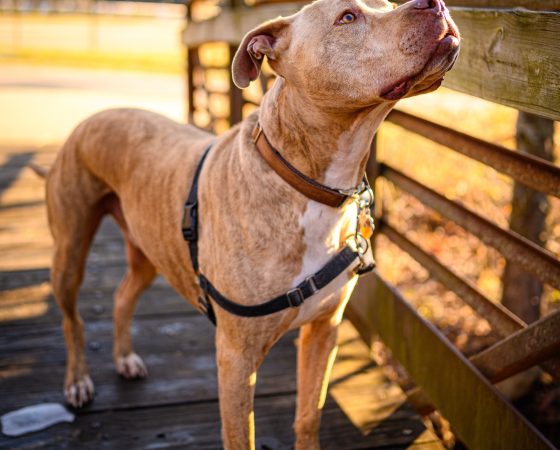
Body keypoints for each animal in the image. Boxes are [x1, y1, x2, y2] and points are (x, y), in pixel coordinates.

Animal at [42, 0, 456, 448]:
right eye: (347, 17)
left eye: (388, 5)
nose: (433, 3)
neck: (308, 183)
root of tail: (97, 115)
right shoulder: (236, 358)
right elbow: (242, 435)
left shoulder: (323, 332)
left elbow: (309, 415)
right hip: (70, 250)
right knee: (71, 318)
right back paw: (77, 381)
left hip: (149, 248)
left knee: (122, 295)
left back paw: (124, 358)